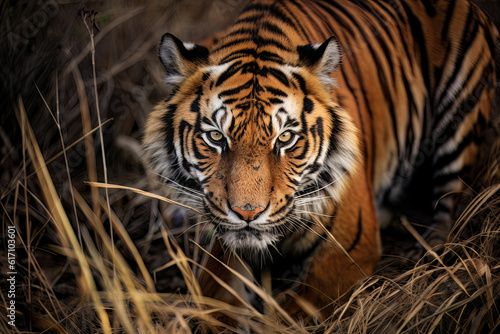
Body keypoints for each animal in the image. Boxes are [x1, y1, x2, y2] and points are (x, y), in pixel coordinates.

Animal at [143, 0, 498, 324]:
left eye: (285, 138)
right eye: (216, 137)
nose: (248, 214)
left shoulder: (349, 249)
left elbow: (290, 314)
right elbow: (217, 303)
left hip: (459, 120)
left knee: (450, 204)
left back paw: (428, 252)